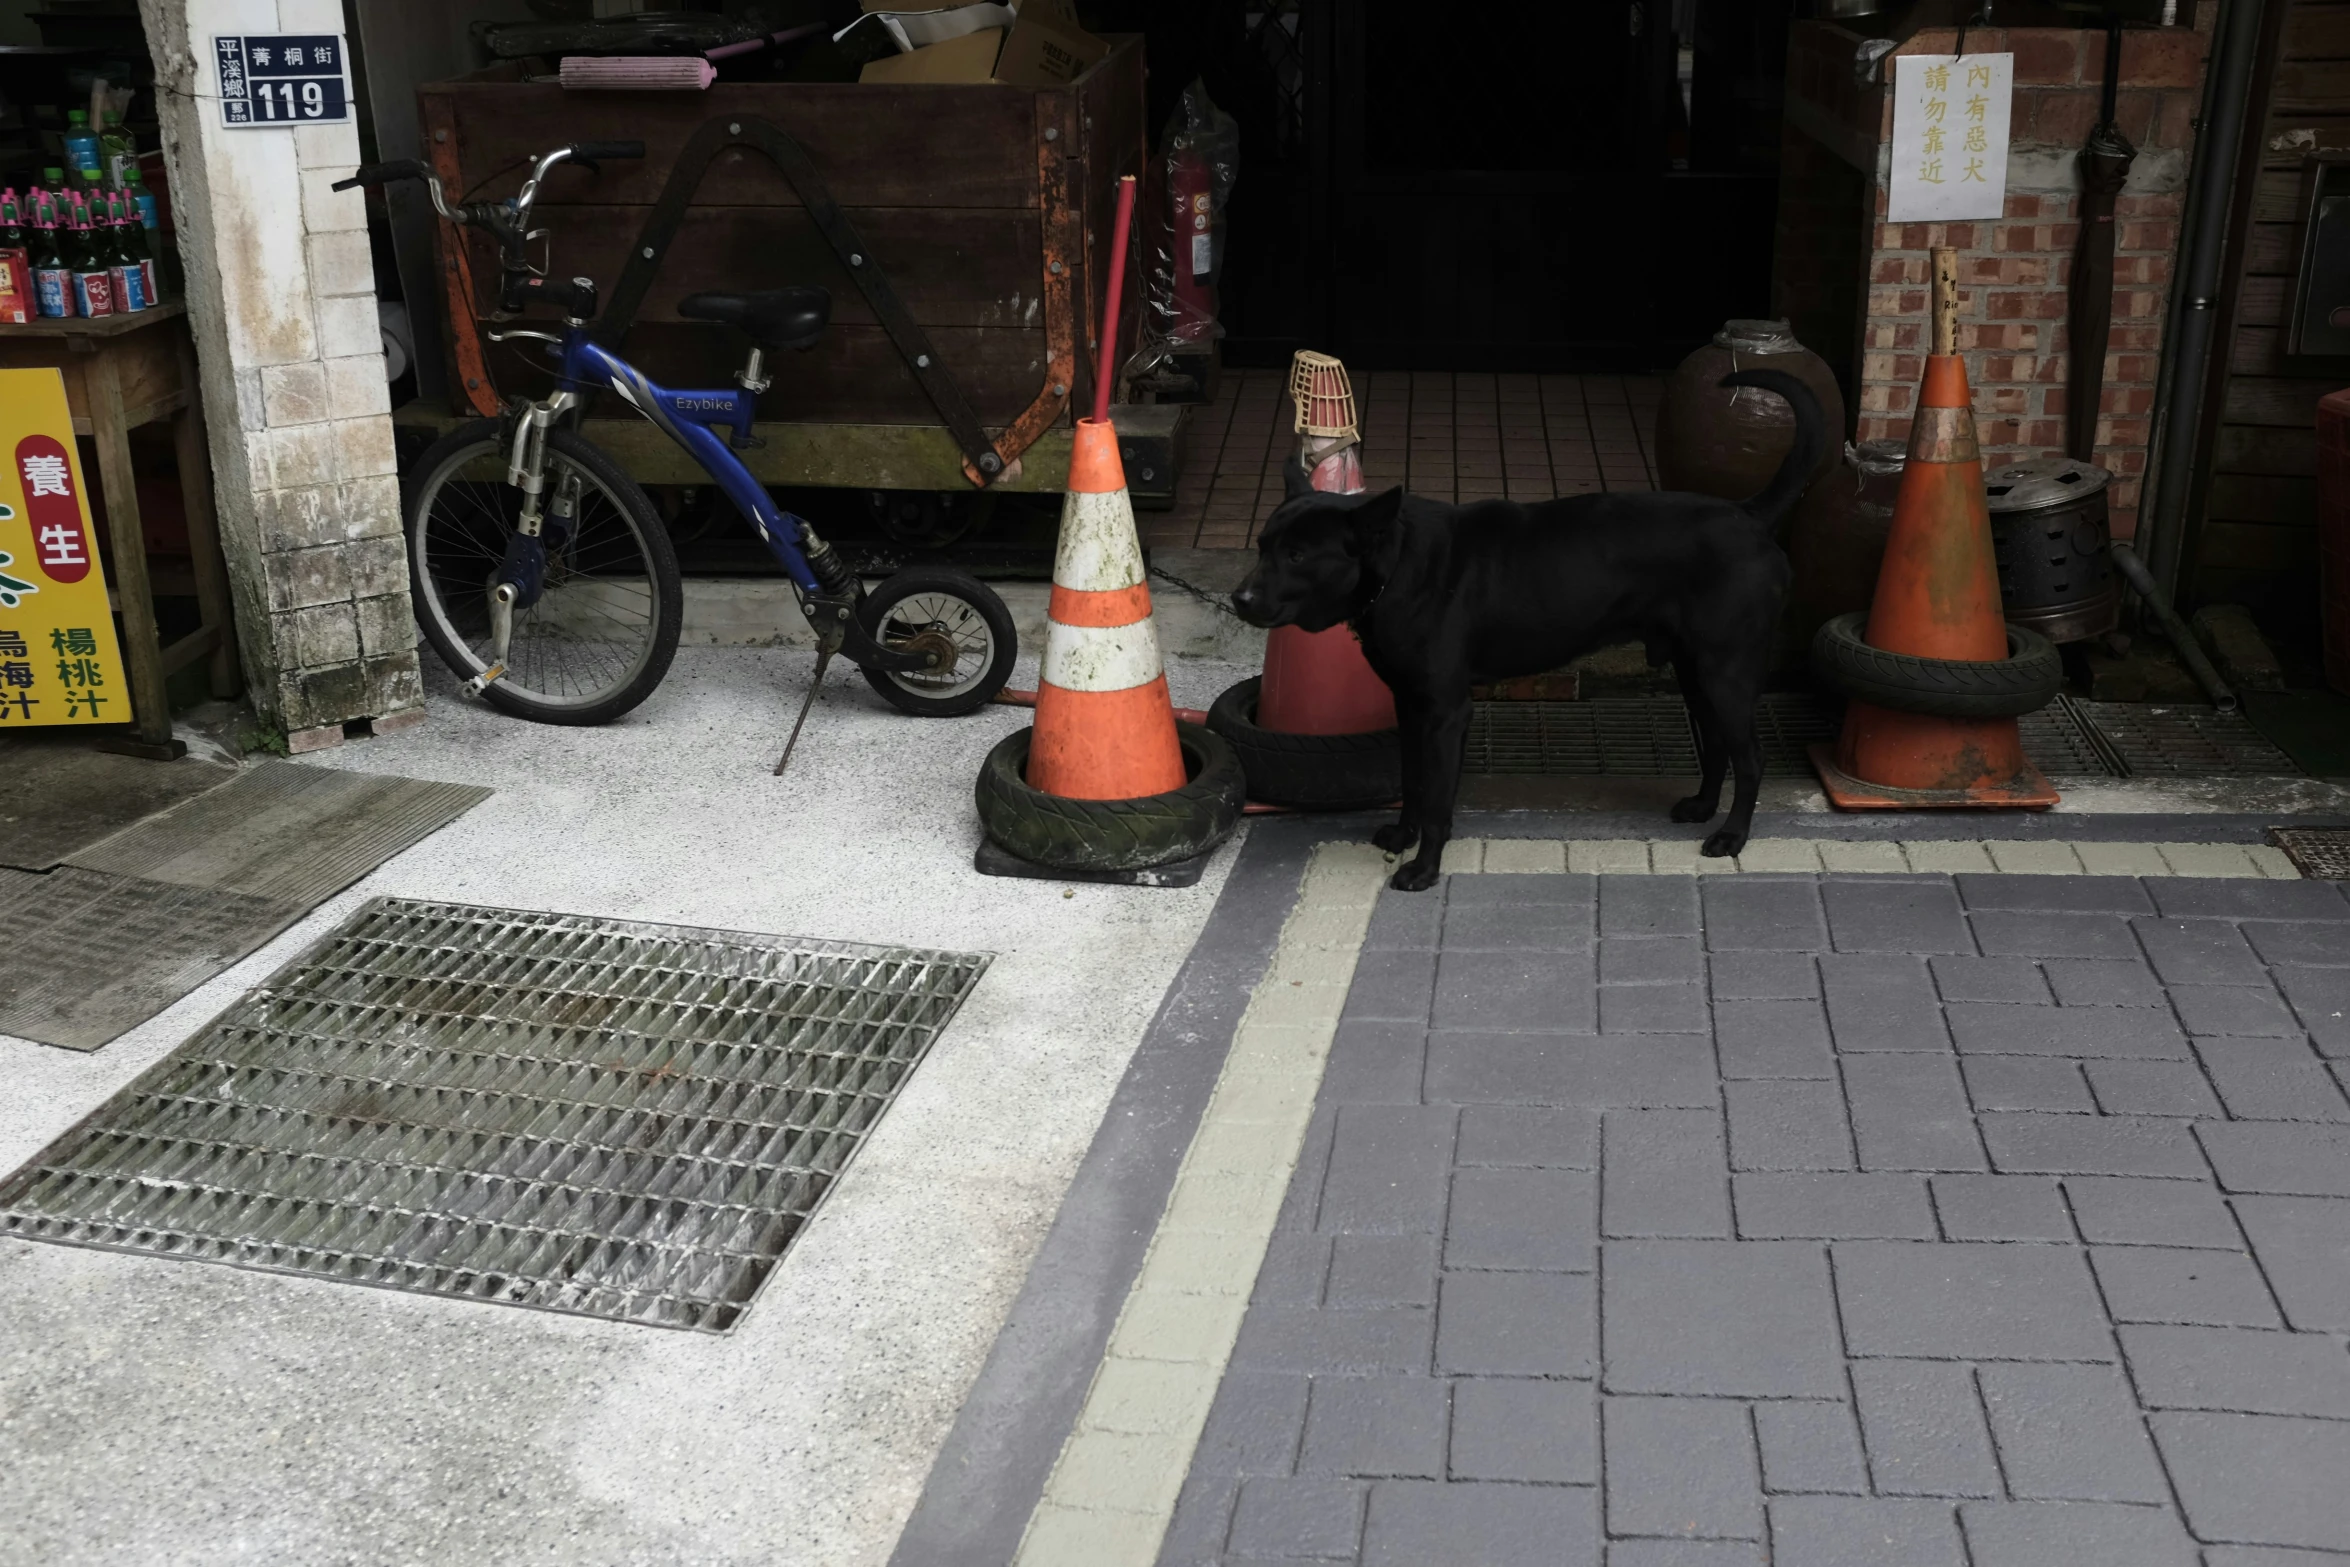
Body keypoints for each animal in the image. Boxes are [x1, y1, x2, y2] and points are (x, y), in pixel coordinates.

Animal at [1222, 359, 1823, 888]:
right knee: (1718, 744)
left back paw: (1733, 835)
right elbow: (1413, 782)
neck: (1397, 567)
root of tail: (1748, 514)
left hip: (1726, 671)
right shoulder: (1411, 705)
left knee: (1751, 756)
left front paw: (1424, 869)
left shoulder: (1446, 712)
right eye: (1264, 545)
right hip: (1693, 670)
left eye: (1299, 555)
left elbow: (1437, 798)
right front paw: (1402, 835)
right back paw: (1702, 807)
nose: (1238, 598)